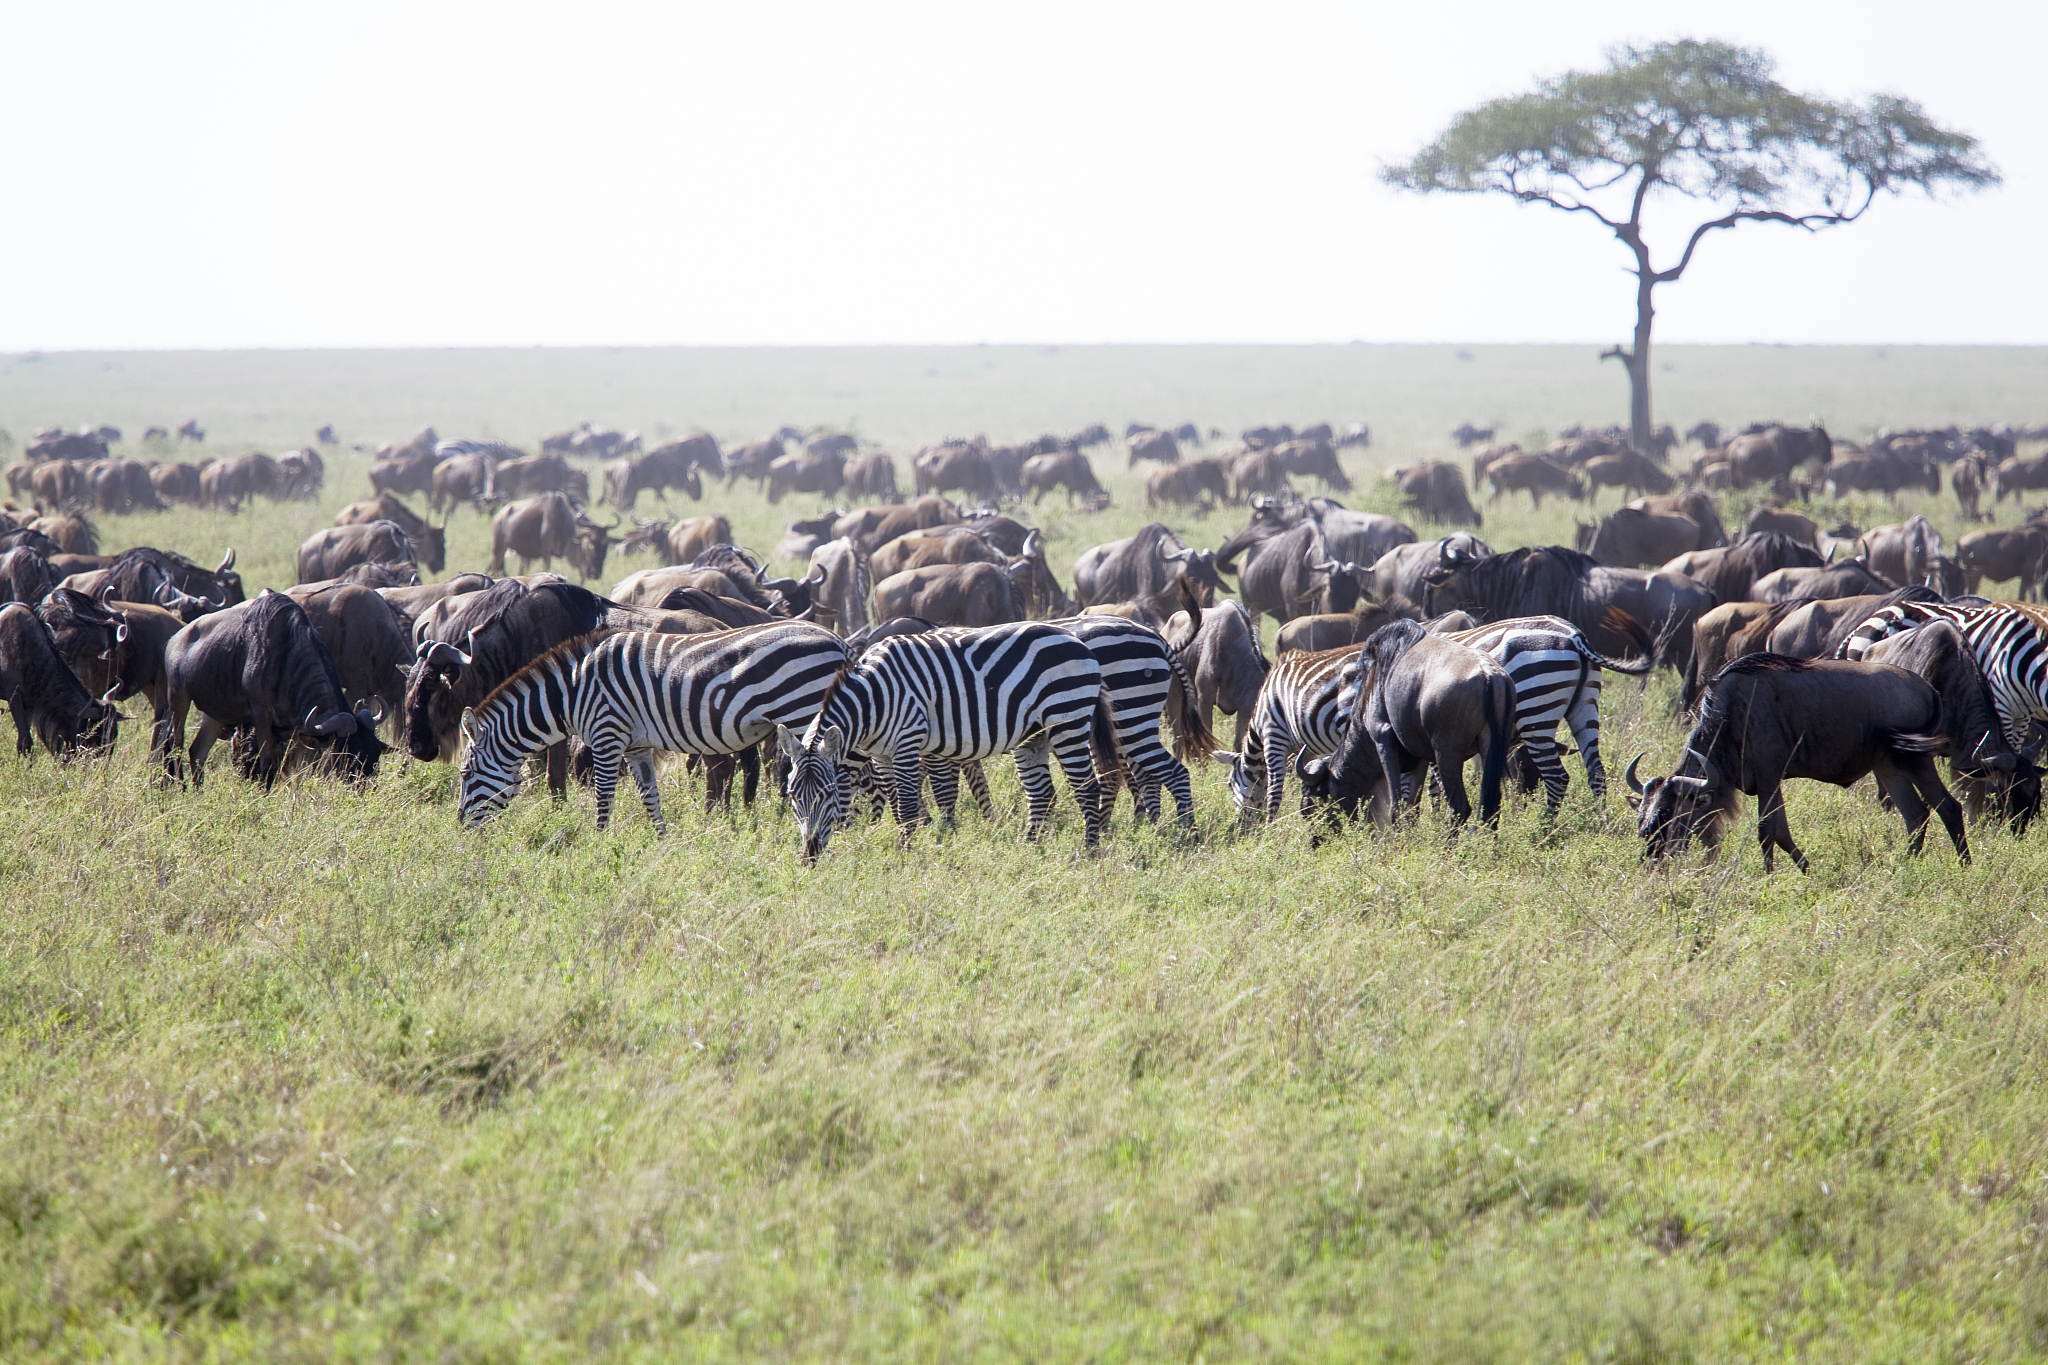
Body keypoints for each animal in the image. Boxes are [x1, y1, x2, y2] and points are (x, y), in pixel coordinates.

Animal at [457, 622, 852, 833]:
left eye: (464, 774)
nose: (460, 826)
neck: (573, 691)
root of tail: (838, 641)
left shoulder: (607, 734)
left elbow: (604, 796)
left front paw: (598, 845)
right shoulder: (636, 746)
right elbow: (650, 795)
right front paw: (662, 844)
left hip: (806, 713)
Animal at [778, 621, 1107, 861]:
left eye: (827, 793)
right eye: (793, 795)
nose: (809, 856)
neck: (873, 701)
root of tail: (1075, 639)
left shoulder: (907, 741)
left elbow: (907, 807)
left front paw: (905, 856)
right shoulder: (882, 756)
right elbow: (896, 806)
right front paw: (904, 847)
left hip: (1068, 721)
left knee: (1088, 789)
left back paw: (1090, 851)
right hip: (1033, 736)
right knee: (1041, 794)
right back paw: (1029, 848)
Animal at [1213, 645, 1357, 822]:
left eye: (1229, 784)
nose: (1239, 823)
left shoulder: (1274, 738)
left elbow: (1274, 791)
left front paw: (1270, 826)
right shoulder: (1305, 750)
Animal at [1437, 614, 1651, 810]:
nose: (1527, 804)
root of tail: (1576, 637)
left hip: (1535, 712)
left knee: (1557, 777)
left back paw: (1544, 826)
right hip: (1585, 707)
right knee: (1596, 772)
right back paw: (1600, 822)